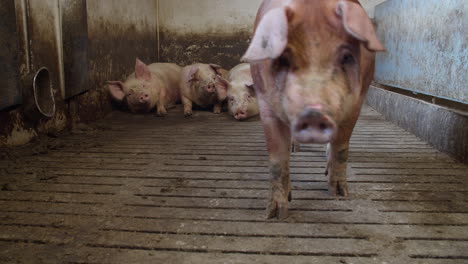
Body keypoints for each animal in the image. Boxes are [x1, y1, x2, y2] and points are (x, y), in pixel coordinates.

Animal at [241, 0, 384, 219]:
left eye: (346, 57)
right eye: (283, 59)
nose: (314, 113)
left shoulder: (356, 103)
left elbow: (341, 148)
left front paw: (339, 194)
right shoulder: (265, 102)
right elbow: (277, 159)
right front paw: (275, 214)